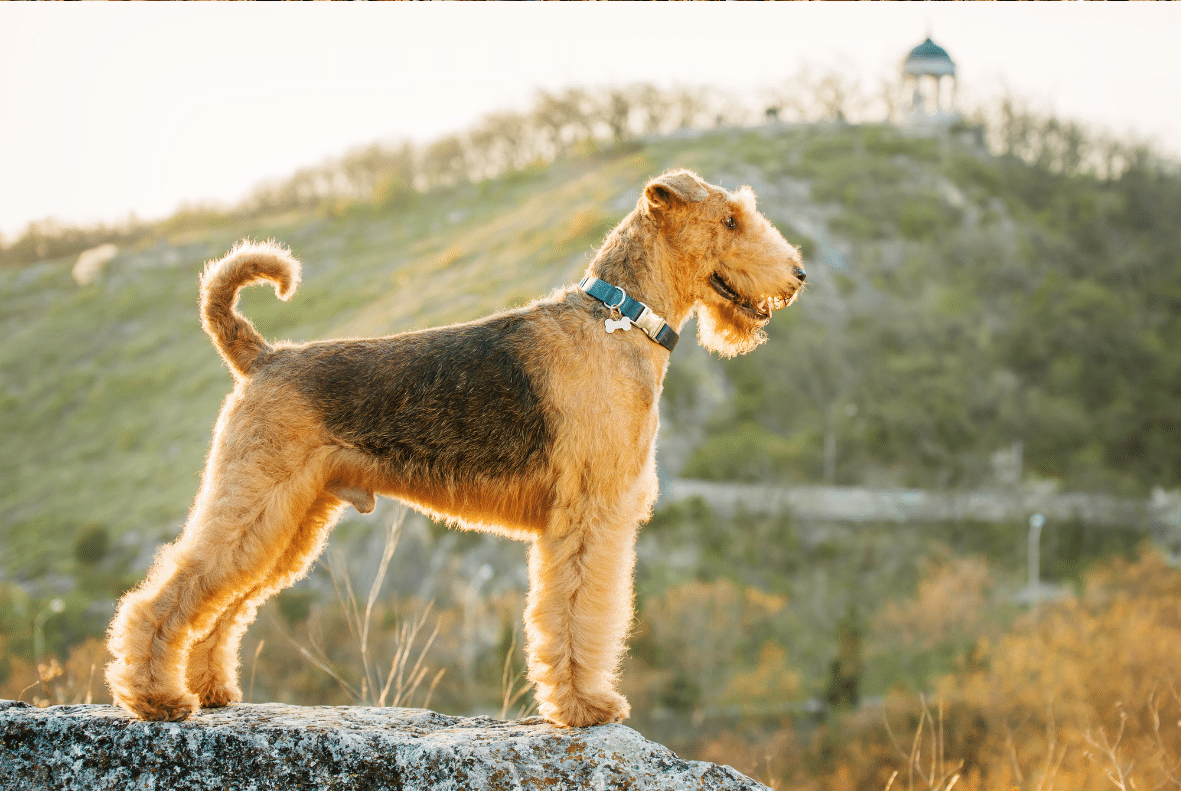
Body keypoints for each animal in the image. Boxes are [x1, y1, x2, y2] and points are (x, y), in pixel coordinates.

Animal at [103, 170, 803, 727]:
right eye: (730, 219)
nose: (797, 275)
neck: (621, 320)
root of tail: (263, 356)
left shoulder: (593, 517)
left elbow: (577, 615)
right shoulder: (588, 518)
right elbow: (578, 614)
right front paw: (585, 708)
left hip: (289, 523)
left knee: (223, 606)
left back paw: (211, 691)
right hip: (254, 502)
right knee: (161, 597)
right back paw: (156, 699)